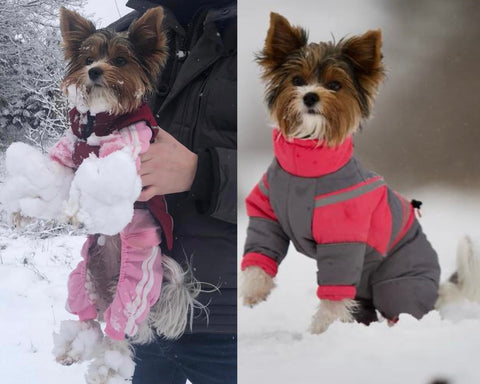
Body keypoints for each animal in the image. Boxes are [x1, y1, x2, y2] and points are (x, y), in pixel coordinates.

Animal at [1, 6, 201, 384]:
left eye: (120, 60)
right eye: (88, 58)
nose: (94, 71)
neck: (100, 120)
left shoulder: (127, 155)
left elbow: (96, 182)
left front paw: (80, 211)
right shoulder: (67, 152)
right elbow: (51, 180)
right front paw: (22, 210)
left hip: (133, 291)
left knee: (118, 334)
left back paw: (107, 367)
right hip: (82, 279)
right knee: (89, 320)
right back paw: (72, 347)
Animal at [242, 13, 478, 332]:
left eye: (334, 85)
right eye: (297, 80)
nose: (310, 96)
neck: (307, 164)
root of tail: (437, 289)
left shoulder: (343, 239)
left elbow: (333, 295)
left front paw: (321, 331)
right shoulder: (267, 214)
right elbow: (259, 251)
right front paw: (254, 290)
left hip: (398, 283)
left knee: (400, 306)